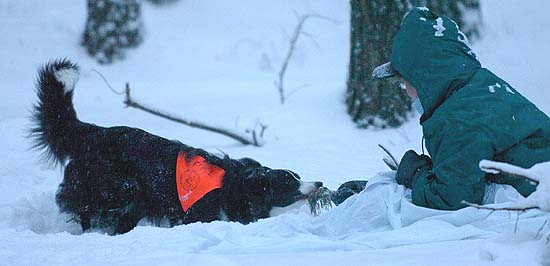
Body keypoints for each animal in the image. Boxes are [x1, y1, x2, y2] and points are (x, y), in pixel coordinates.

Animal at [31, 59, 324, 234]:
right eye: (289, 182)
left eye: (298, 175)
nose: (320, 182)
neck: (238, 185)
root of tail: (94, 132)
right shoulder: (199, 213)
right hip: (119, 187)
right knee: (88, 211)